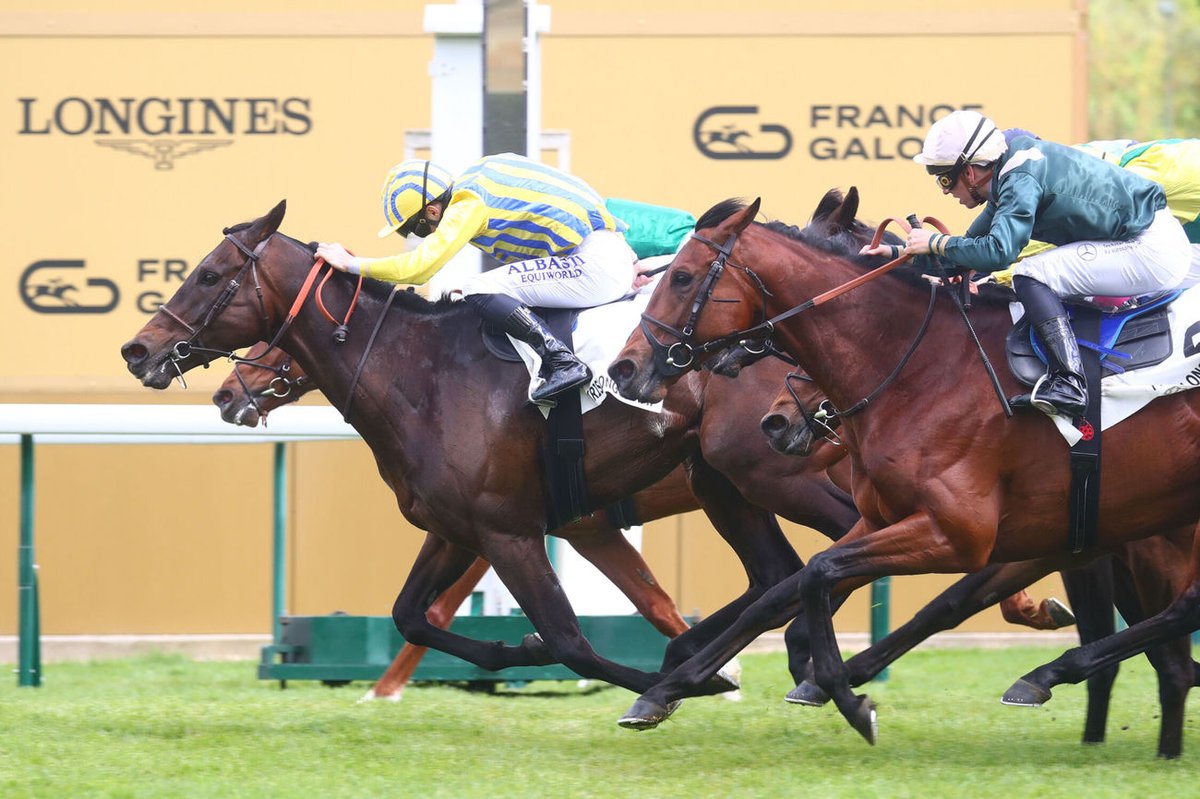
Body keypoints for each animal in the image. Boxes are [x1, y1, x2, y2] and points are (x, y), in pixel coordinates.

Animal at [609, 193, 1200, 753]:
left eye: (682, 277)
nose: (625, 368)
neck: (925, 365)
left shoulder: (961, 534)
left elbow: (826, 574)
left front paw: (845, 696)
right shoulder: (889, 519)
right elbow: (792, 588)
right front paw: (664, 691)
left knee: (1180, 618)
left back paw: (1050, 675)